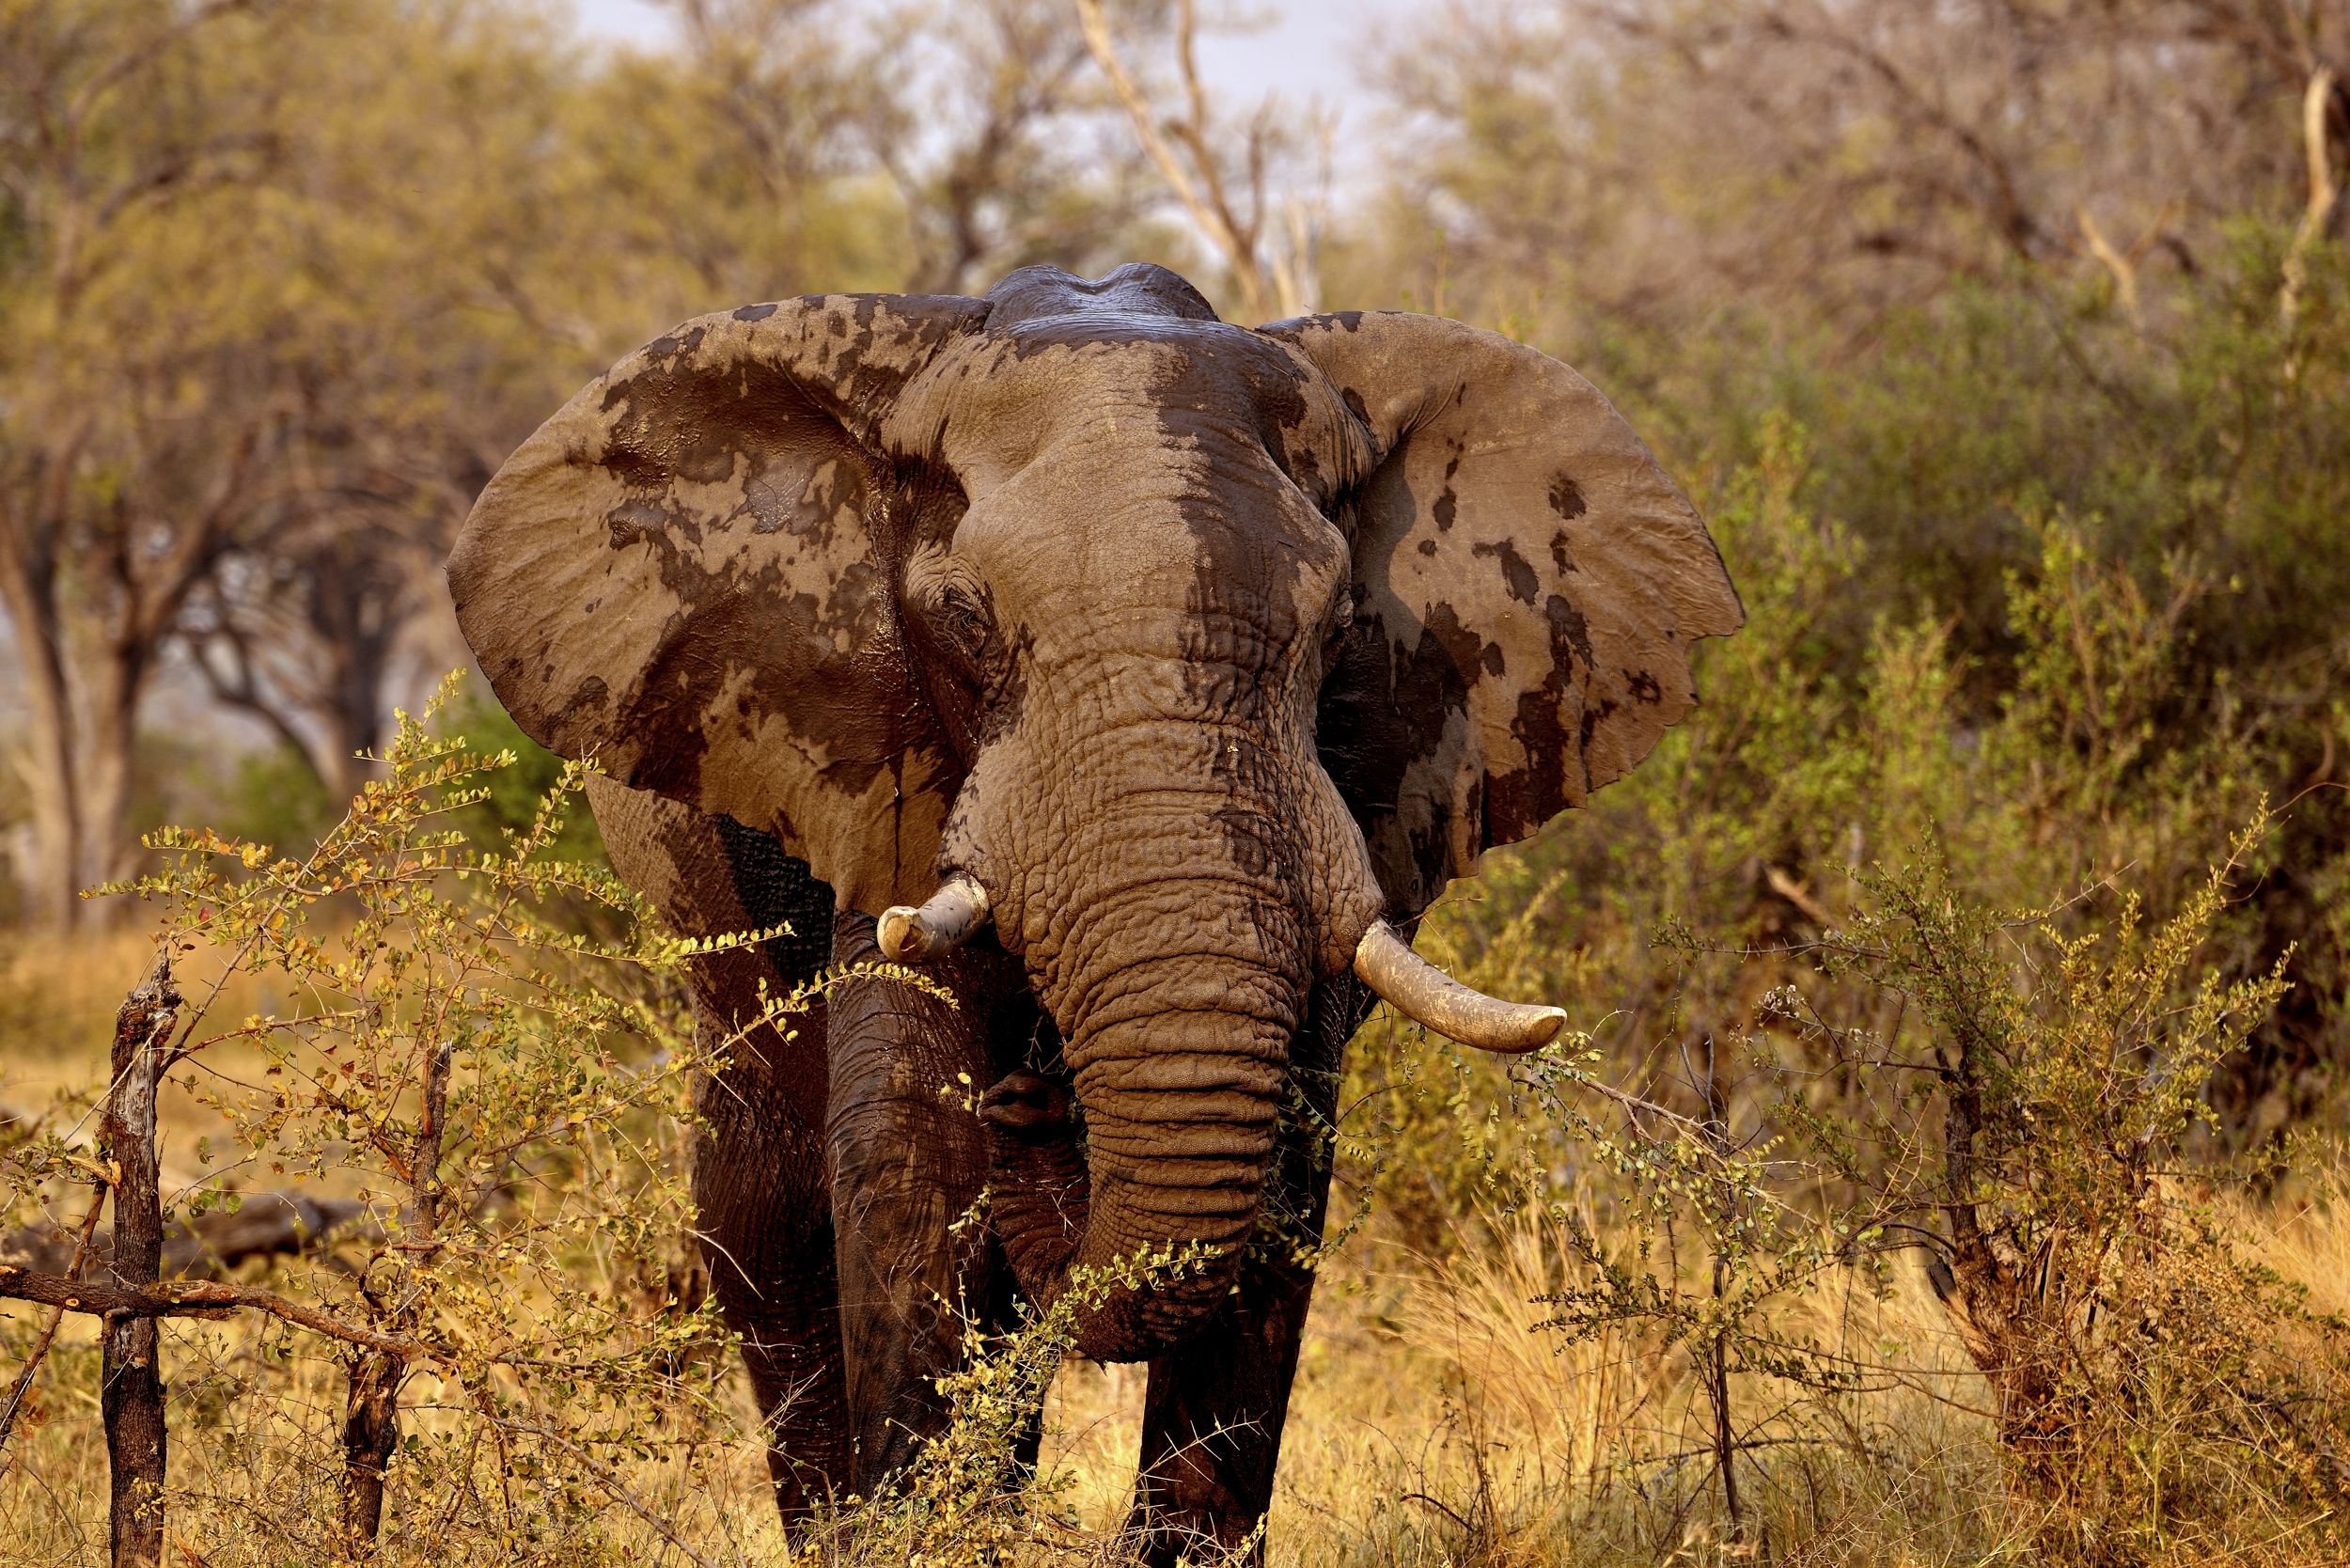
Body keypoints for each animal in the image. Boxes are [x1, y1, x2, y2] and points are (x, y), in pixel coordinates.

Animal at [444, 262, 1740, 1561]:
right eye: (964, 619)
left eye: (1337, 631)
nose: (1031, 1097)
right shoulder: (881, 761)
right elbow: (913, 1139)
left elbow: (1282, 1161)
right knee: (763, 1208)